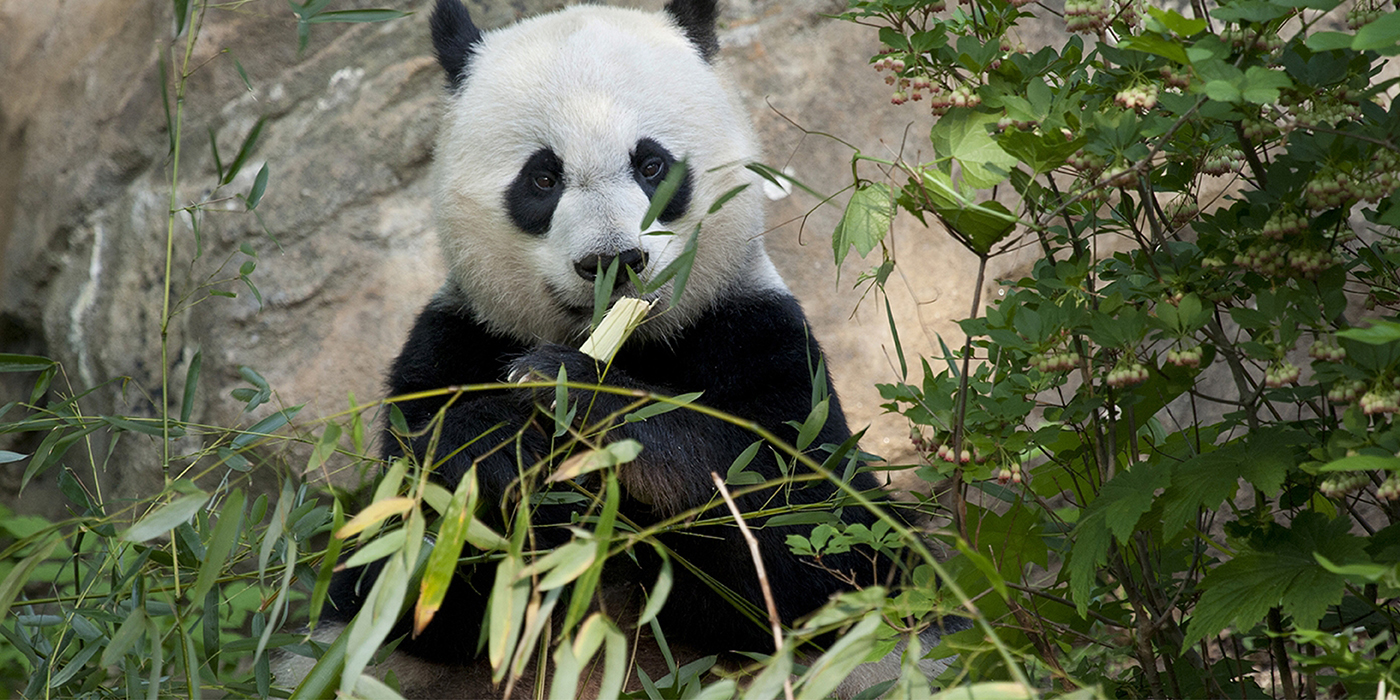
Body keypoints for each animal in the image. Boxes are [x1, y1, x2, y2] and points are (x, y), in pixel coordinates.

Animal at [284, 2, 963, 697]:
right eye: (543, 177)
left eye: (651, 164)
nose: (613, 260)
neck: (628, 343)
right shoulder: (451, 347)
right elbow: (406, 571)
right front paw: (494, 446)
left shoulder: (759, 336)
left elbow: (816, 539)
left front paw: (573, 393)